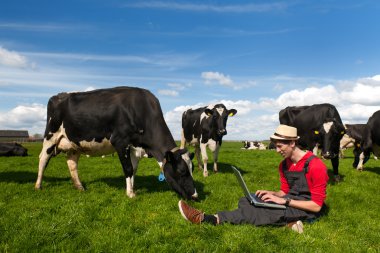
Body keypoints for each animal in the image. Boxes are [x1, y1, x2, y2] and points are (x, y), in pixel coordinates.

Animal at [35, 87, 199, 200]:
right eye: (182, 171)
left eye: (192, 169)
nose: (195, 196)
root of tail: (58, 96)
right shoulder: (120, 142)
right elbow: (128, 169)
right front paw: (130, 194)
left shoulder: (134, 147)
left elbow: (134, 169)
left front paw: (133, 188)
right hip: (50, 136)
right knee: (43, 159)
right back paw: (38, 185)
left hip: (74, 144)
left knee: (72, 163)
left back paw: (80, 187)